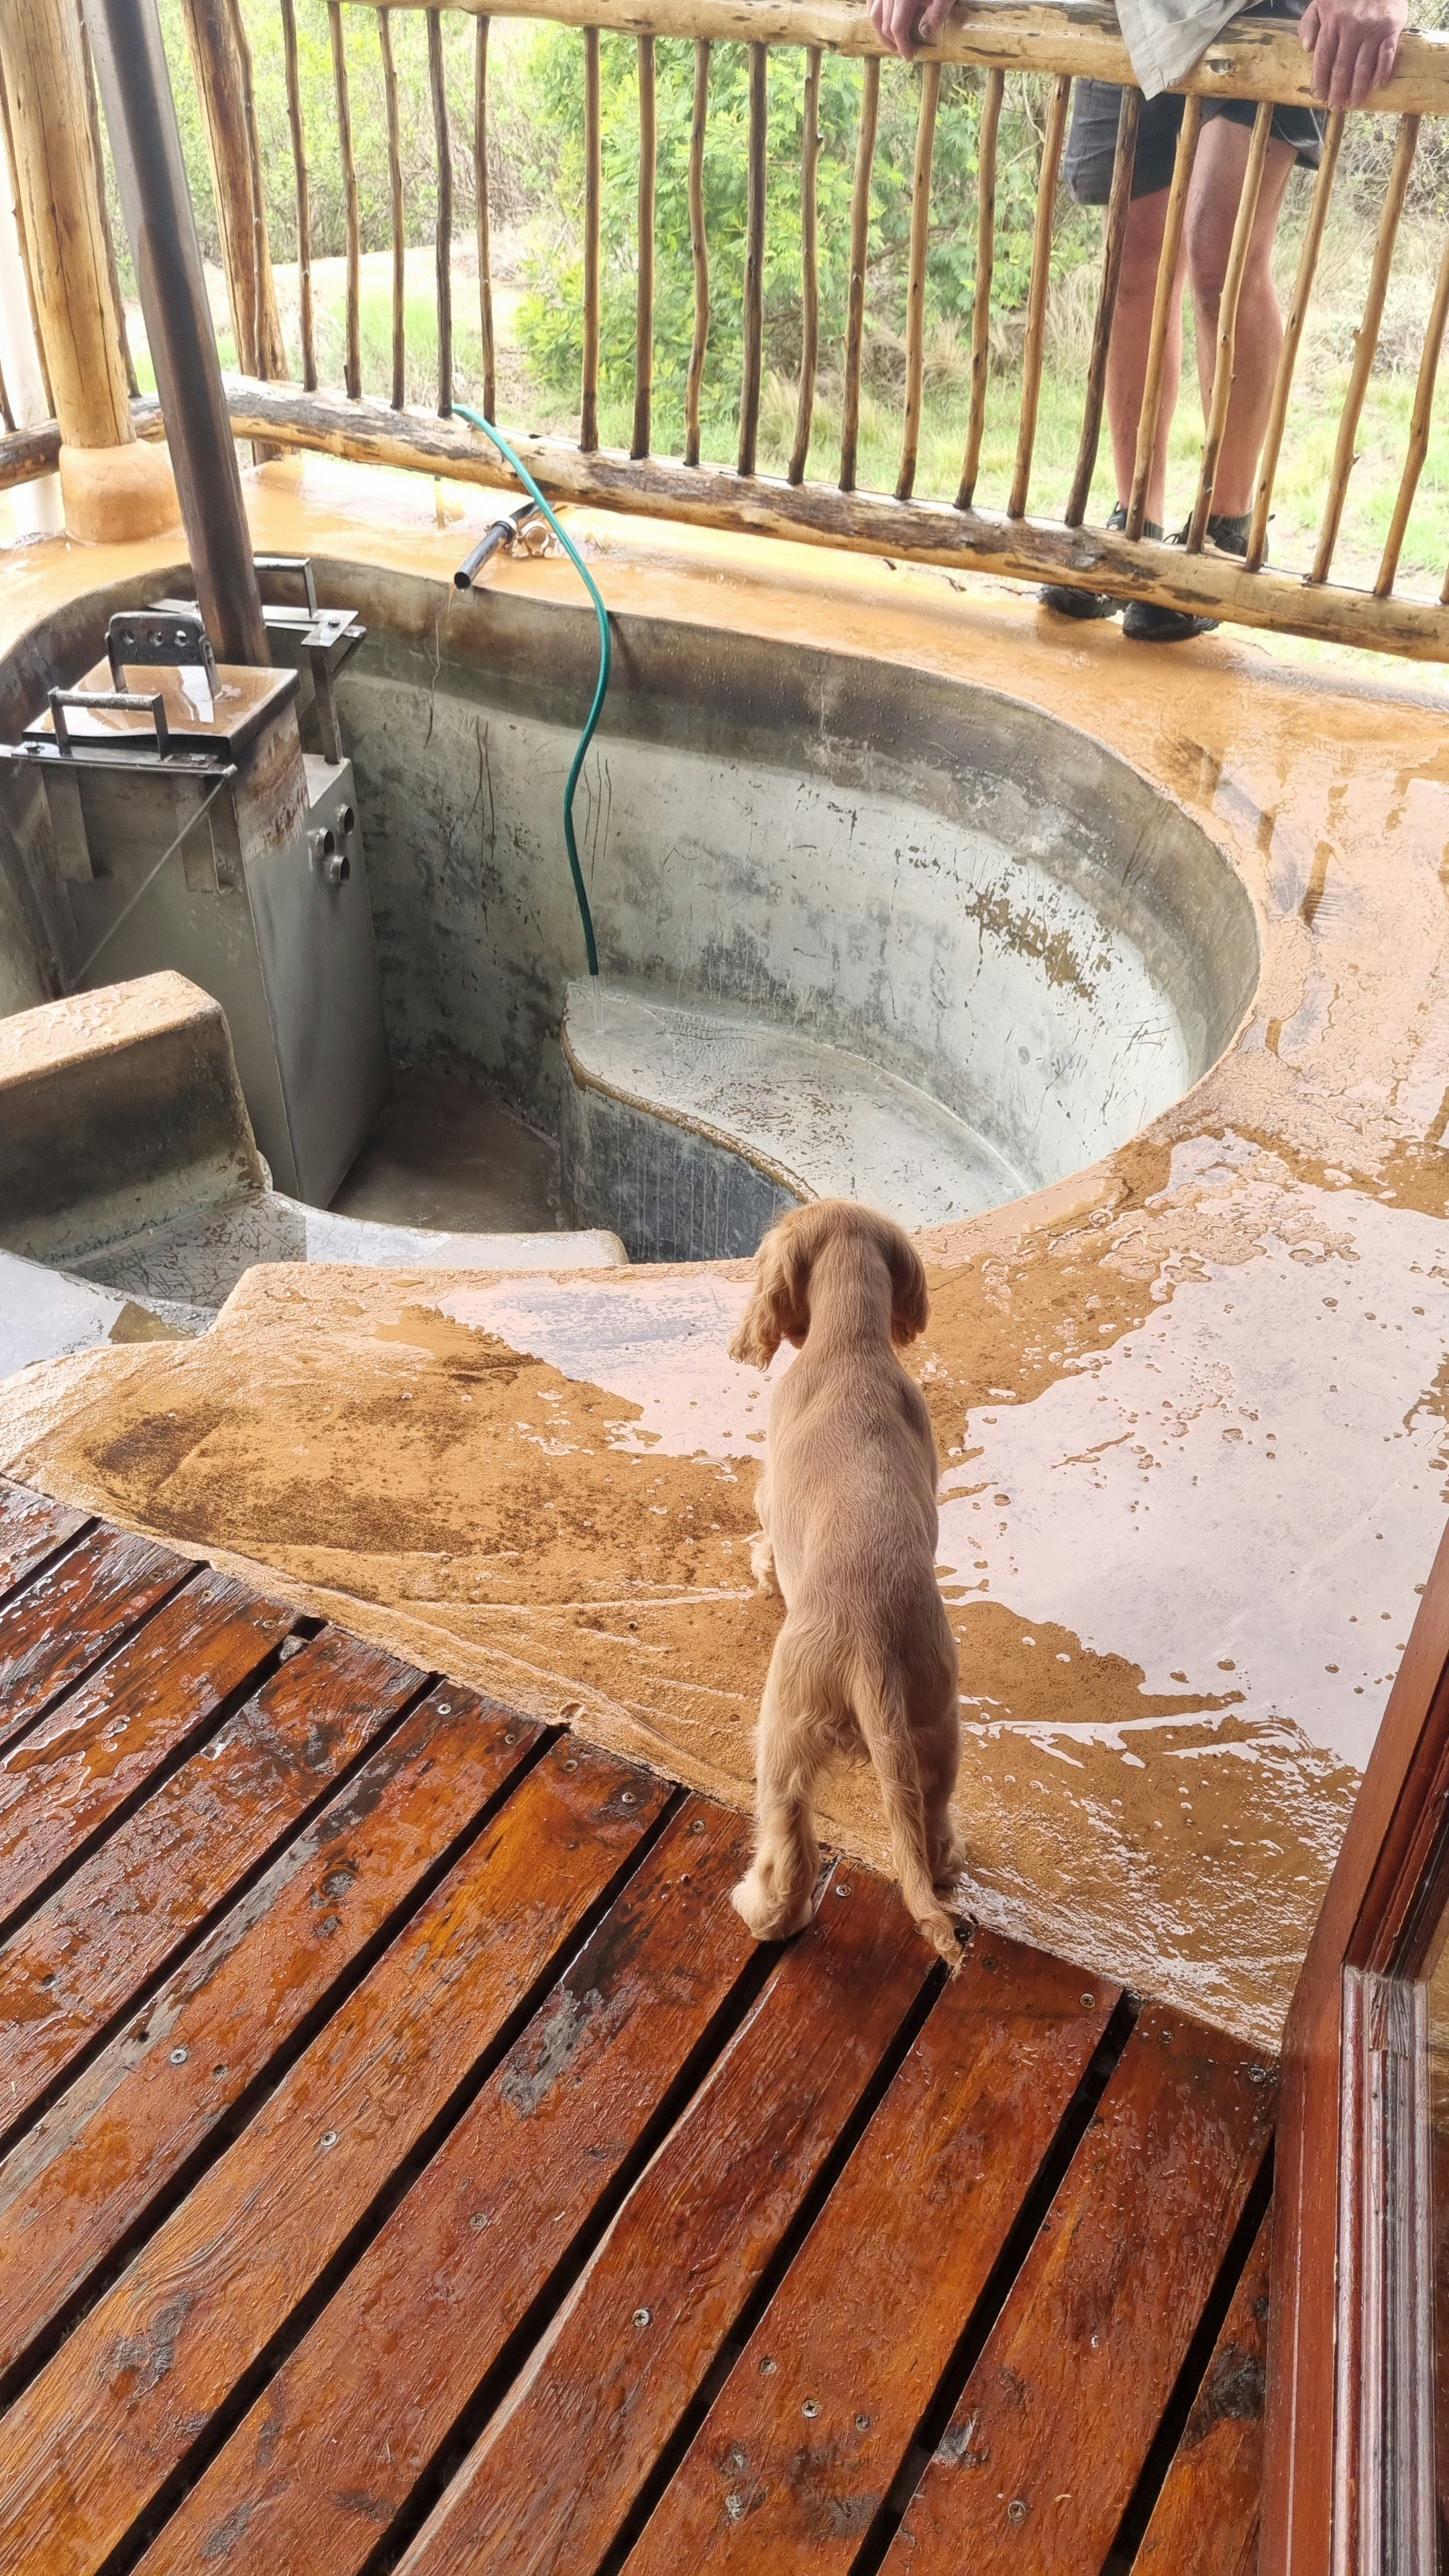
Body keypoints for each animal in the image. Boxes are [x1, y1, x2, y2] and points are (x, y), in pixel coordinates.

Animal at [727, 1198, 964, 1967]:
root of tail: (870, 1648)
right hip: (936, 1725)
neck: (851, 1345)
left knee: (786, 1849)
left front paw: (763, 1571)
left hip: (784, 1732)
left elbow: (765, 1529)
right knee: (930, 1818)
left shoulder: (770, 1489)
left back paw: (761, 1908)